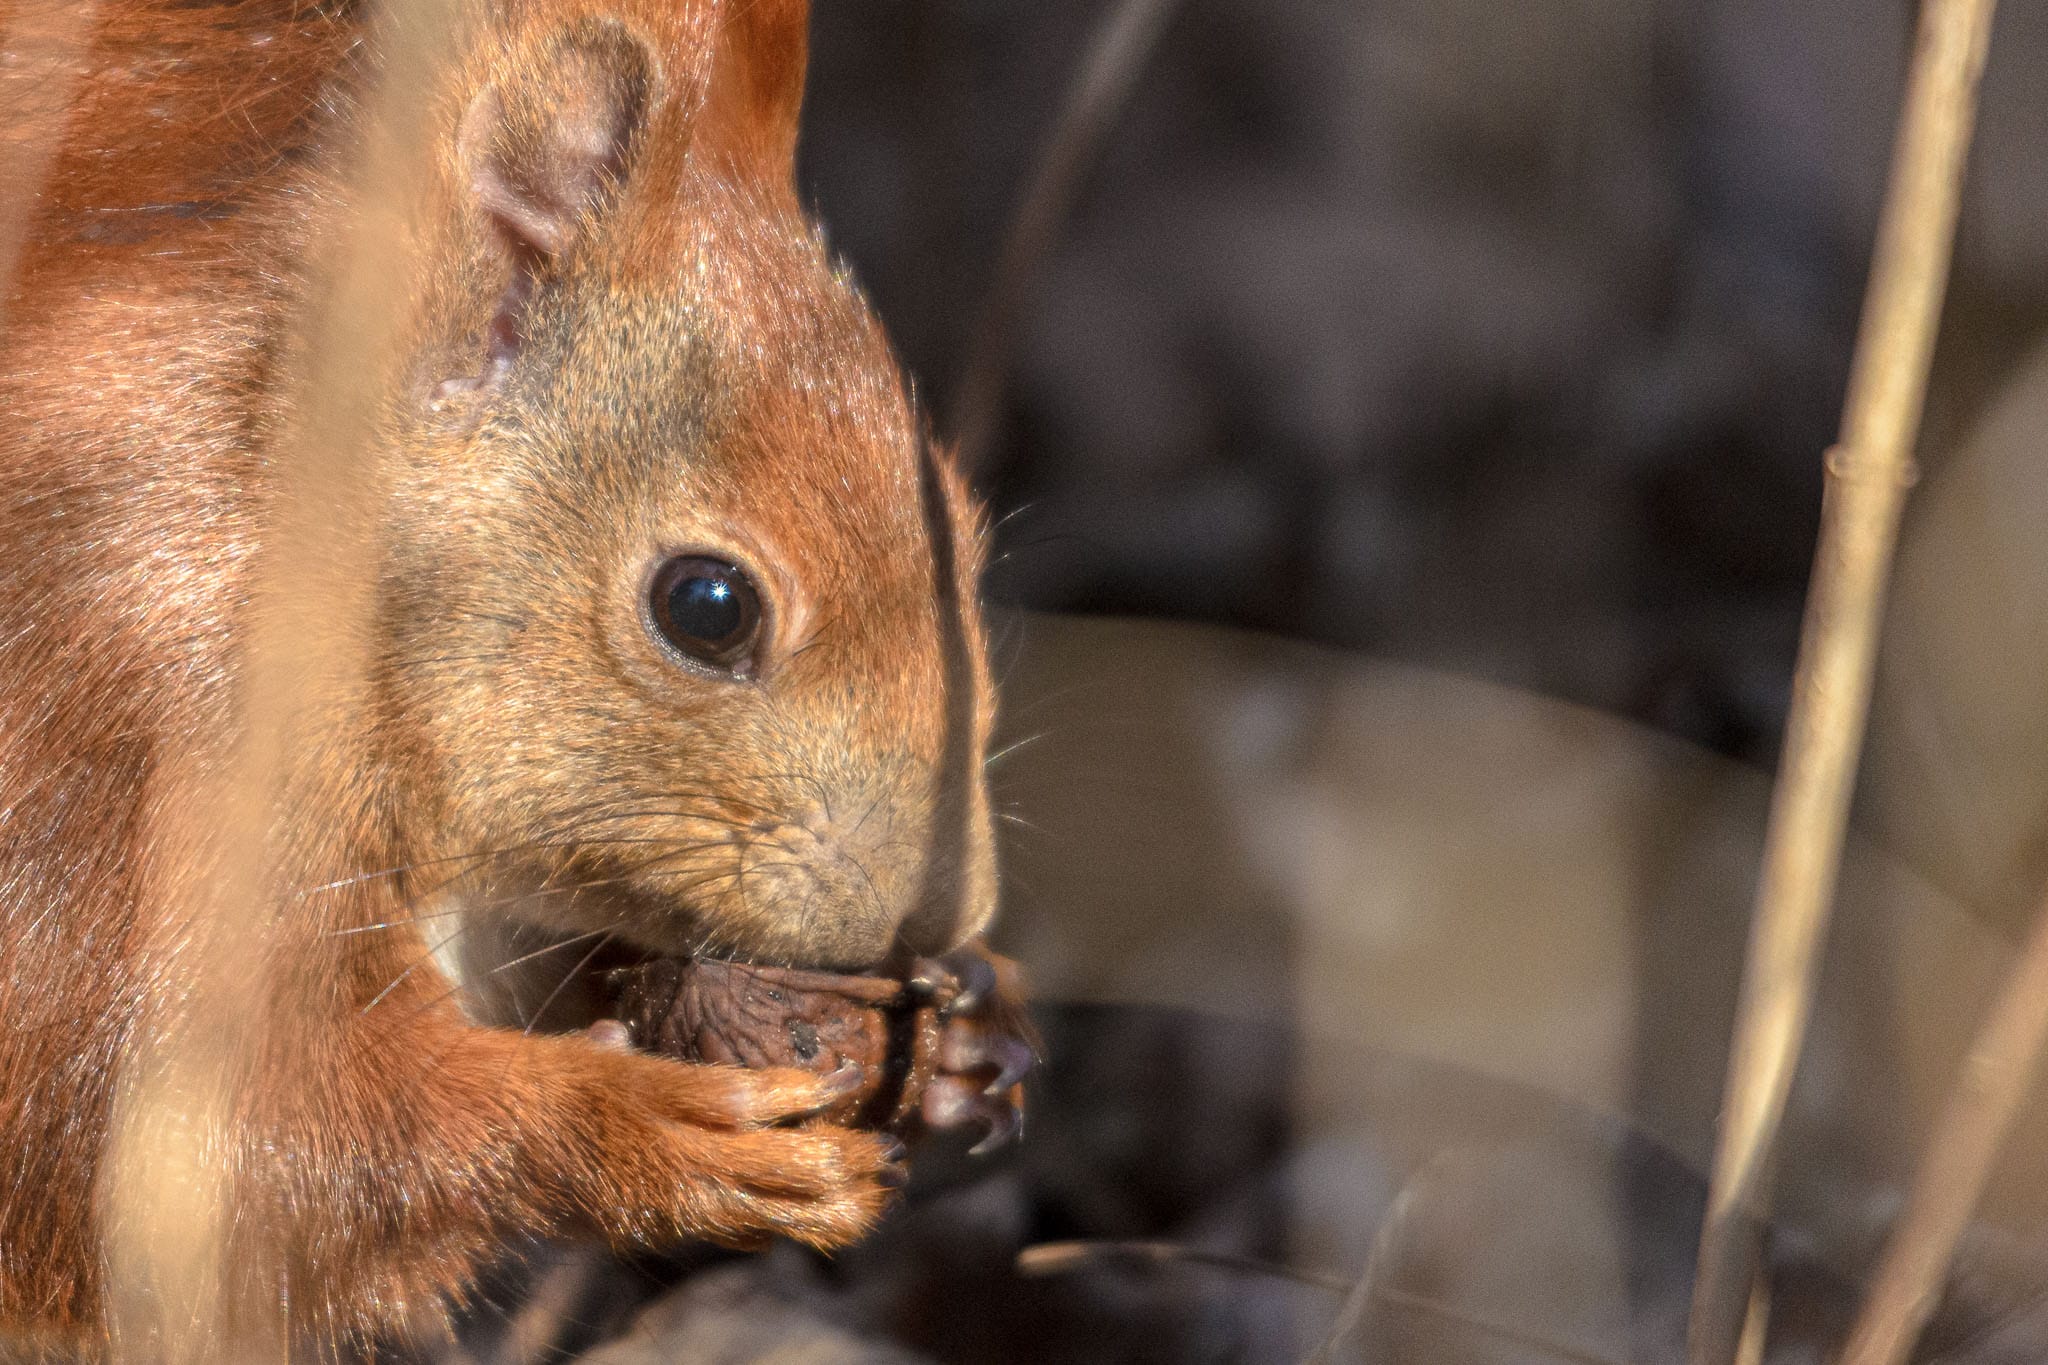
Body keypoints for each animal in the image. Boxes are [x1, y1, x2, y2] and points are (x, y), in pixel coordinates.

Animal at [0, 0, 1009, 1357]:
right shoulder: (106, 710)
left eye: (963, 526)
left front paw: (965, 1042)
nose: (943, 916)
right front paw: (634, 1129)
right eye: (706, 607)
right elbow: (152, 1148)